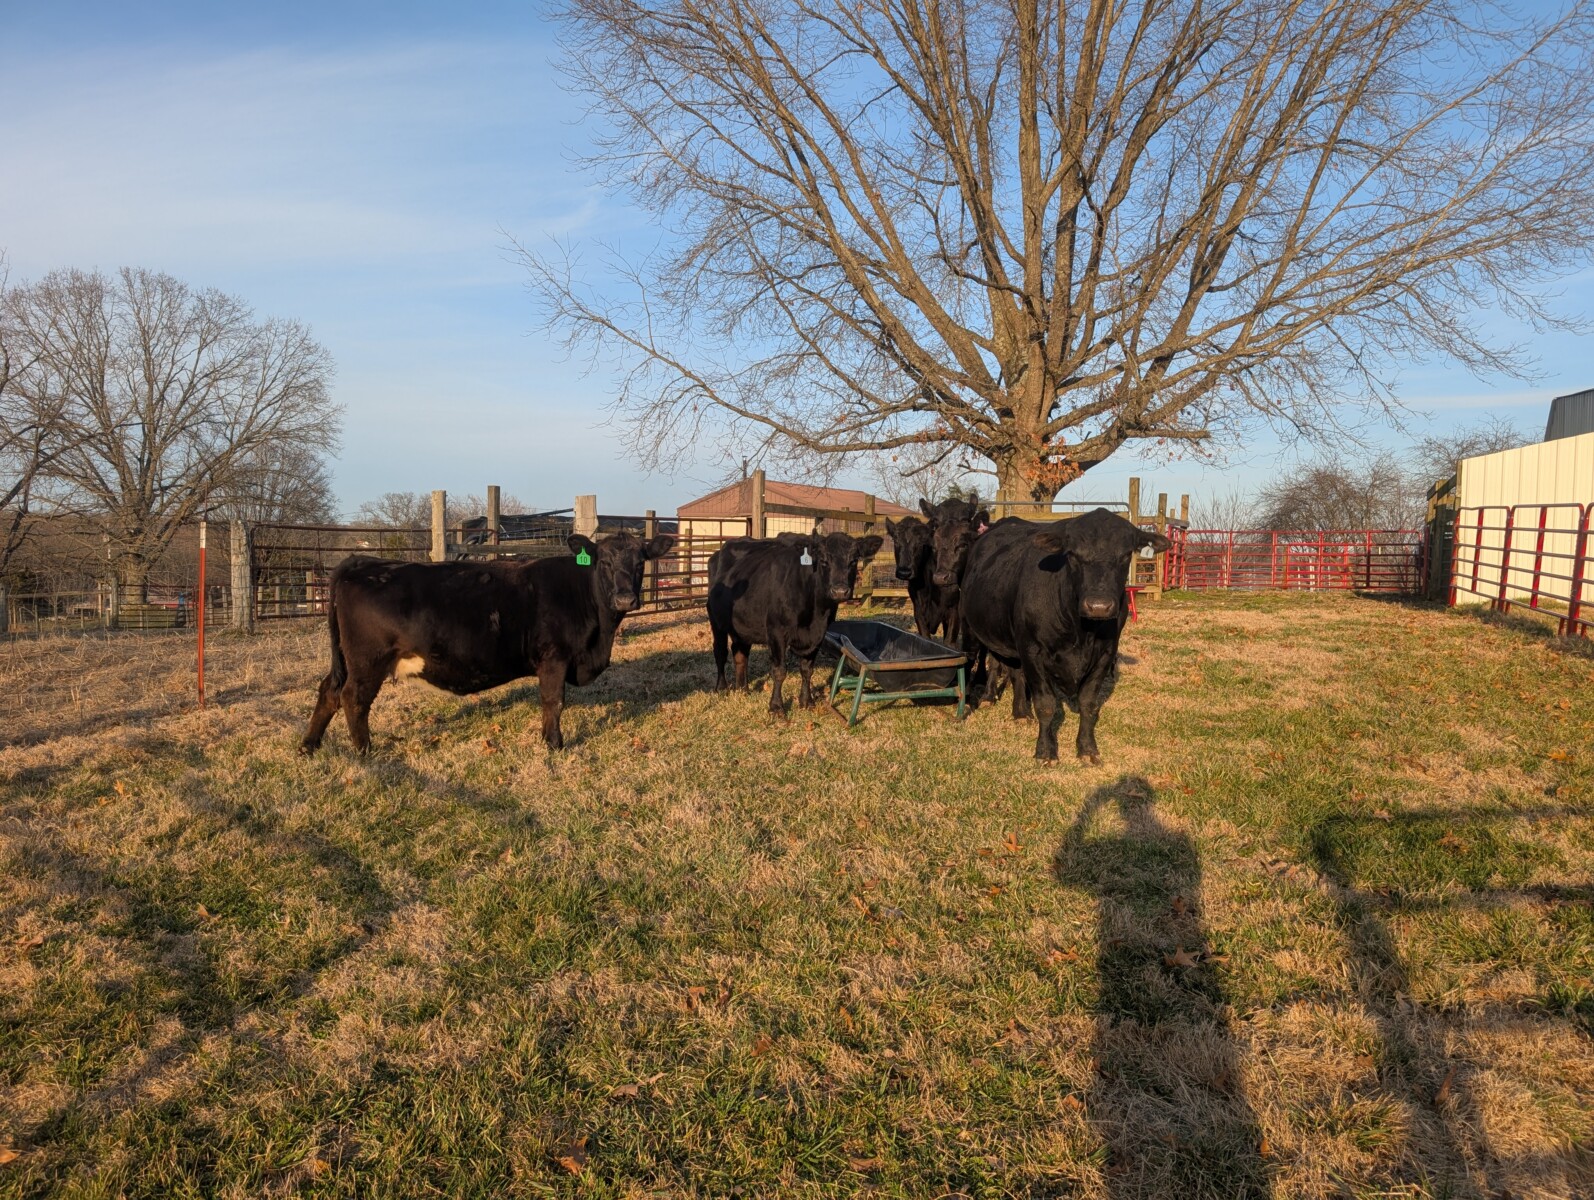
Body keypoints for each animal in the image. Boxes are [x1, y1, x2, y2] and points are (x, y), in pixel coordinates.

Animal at [300, 531, 676, 755]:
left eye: (640, 562)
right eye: (605, 562)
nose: (626, 598)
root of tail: (361, 562)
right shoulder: (554, 658)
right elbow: (553, 701)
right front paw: (554, 744)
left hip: (348, 659)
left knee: (329, 690)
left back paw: (309, 745)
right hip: (368, 660)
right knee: (353, 698)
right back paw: (364, 751)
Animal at [707, 529, 884, 714]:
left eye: (854, 560)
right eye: (823, 561)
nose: (840, 591)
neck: (815, 614)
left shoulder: (818, 635)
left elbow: (807, 670)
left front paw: (806, 701)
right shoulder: (776, 631)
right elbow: (779, 671)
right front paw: (777, 707)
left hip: (743, 625)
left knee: (740, 653)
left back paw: (743, 689)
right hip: (716, 620)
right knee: (720, 651)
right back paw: (722, 688)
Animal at [958, 508, 1167, 763]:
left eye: (1126, 554)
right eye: (1072, 555)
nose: (1098, 606)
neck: (1082, 631)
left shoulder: (1106, 652)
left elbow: (1088, 703)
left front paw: (1087, 749)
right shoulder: (1032, 650)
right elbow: (1045, 704)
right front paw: (1045, 751)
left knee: (1015, 673)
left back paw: (1021, 712)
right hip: (971, 626)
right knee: (978, 659)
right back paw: (976, 701)